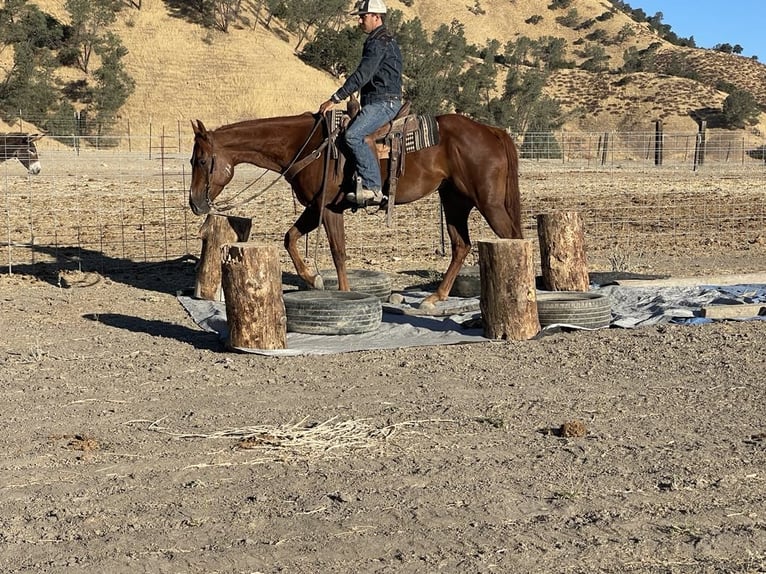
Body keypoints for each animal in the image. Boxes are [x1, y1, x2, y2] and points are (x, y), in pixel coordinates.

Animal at [190, 113, 524, 310]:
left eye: (201, 161)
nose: (195, 203)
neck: (306, 145)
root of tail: (492, 130)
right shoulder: (315, 207)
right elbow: (291, 238)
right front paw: (313, 279)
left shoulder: (328, 208)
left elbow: (338, 252)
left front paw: (341, 290)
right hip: (454, 200)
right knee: (461, 246)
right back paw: (435, 298)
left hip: (488, 202)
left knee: (513, 239)